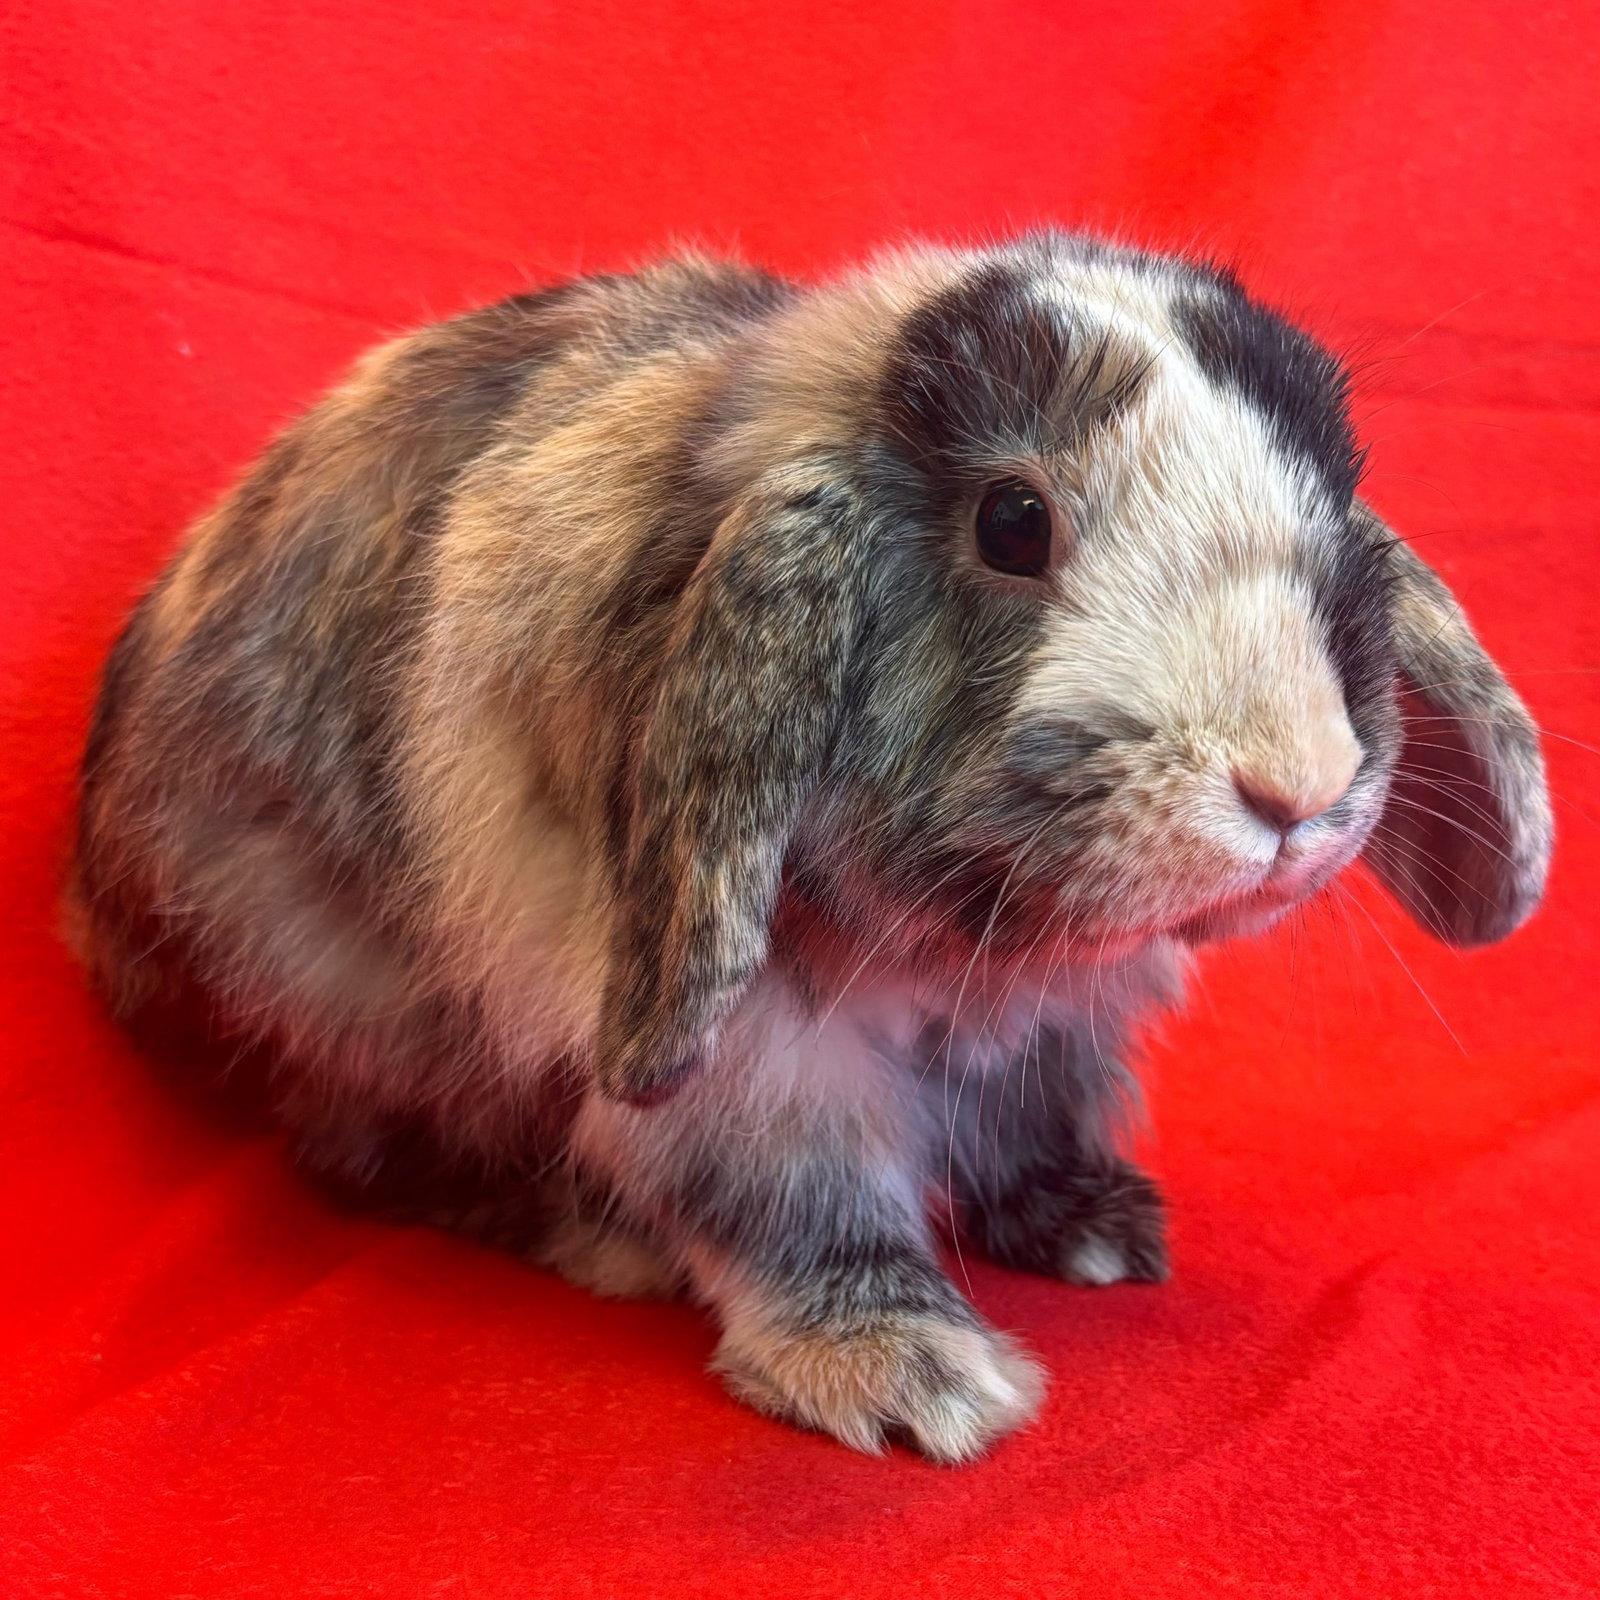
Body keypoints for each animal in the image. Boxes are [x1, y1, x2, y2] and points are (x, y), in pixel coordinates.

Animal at [69, 232, 1552, 1462]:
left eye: (1335, 502)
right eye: (1013, 522)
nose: (1295, 786)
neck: (963, 948)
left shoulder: (1047, 1029)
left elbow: (1030, 1113)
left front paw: (1094, 1229)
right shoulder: (741, 1053)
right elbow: (801, 1197)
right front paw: (910, 1377)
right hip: (335, 987)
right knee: (363, 1153)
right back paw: (596, 1242)